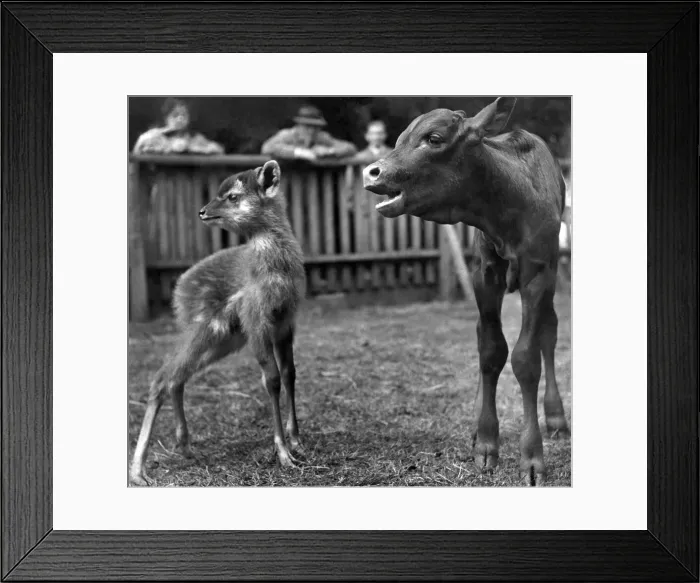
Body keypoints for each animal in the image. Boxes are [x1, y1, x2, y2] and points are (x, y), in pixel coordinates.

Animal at [129, 160, 307, 486]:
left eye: (233, 196)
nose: (202, 211)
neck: (276, 274)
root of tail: (178, 292)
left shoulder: (286, 321)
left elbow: (290, 374)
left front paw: (298, 442)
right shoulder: (255, 320)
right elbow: (272, 379)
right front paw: (284, 454)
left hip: (224, 338)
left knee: (176, 377)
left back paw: (185, 446)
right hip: (206, 329)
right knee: (162, 375)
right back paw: (138, 472)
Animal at [363, 97, 570, 486]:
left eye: (434, 138)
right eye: (399, 139)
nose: (372, 172)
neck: (506, 212)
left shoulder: (539, 274)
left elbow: (526, 357)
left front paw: (532, 457)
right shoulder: (483, 274)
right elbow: (490, 350)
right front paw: (486, 442)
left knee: (549, 332)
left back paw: (556, 417)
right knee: (484, 338)